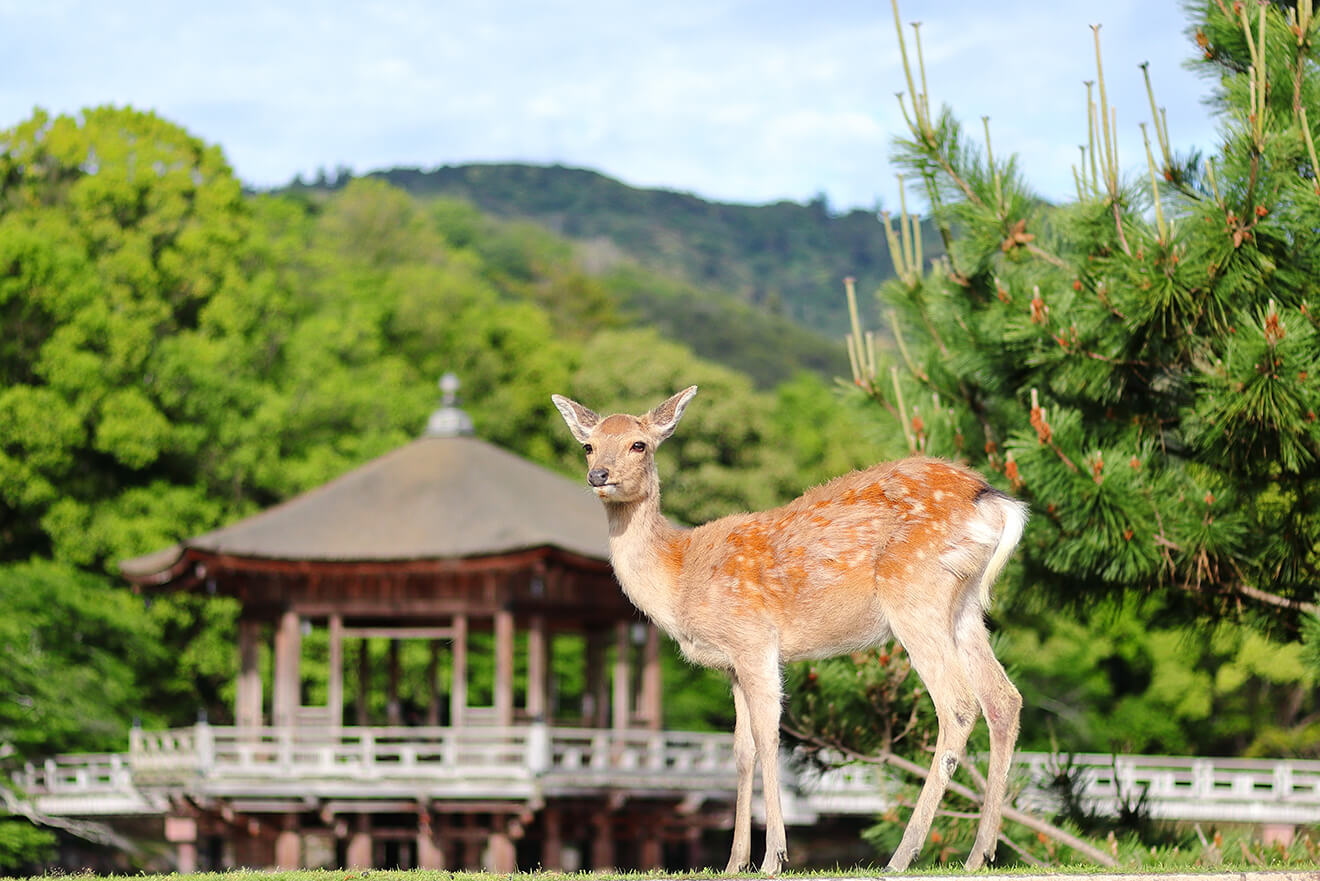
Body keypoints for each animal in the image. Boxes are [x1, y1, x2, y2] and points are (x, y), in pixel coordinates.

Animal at [551, 388, 1024, 877]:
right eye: (588, 445)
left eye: (639, 444)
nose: (599, 474)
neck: (680, 578)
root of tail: (991, 500)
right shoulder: (731, 664)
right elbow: (741, 750)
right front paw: (734, 861)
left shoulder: (753, 638)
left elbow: (768, 737)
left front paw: (773, 857)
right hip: (965, 606)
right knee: (1003, 698)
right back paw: (979, 852)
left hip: (914, 592)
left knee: (958, 704)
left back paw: (903, 854)